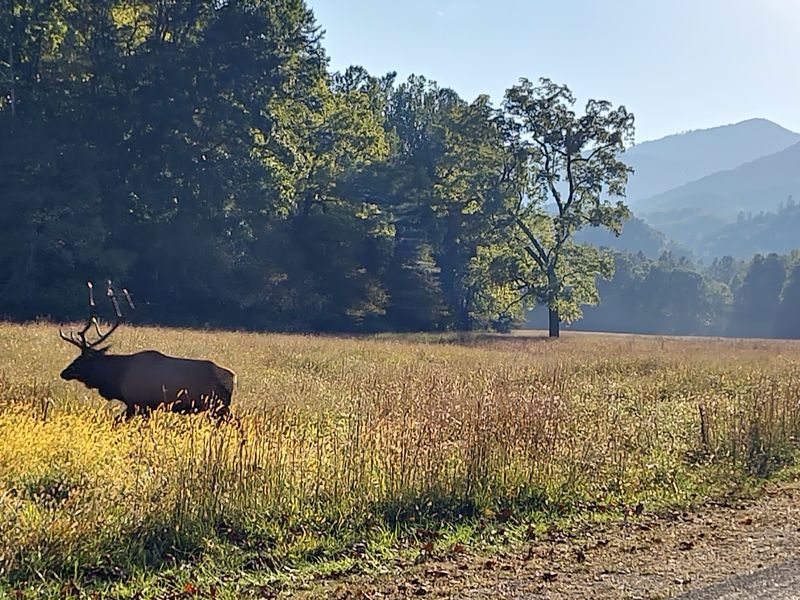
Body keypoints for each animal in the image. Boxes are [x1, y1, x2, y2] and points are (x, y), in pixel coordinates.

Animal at [59, 281, 236, 422]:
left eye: (84, 358)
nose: (64, 372)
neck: (116, 378)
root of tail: (233, 378)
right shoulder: (142, 406)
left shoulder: (139, 404)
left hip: (218, 406)